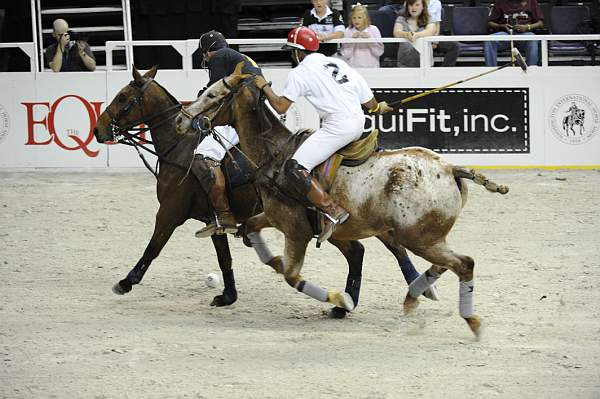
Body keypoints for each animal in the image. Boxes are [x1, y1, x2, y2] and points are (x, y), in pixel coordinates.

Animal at [176, 65, 508, 338]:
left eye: (212, 94)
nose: (181, 119)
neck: (274, 154)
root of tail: (450, 168)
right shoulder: (274, 216)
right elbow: (251, 233)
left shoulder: (296, 230)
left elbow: (291, 275)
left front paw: (340, 298)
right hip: (426, 235)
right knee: (444, 263)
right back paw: (414, 295)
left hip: (417, 236)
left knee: (463, 263)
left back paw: (470, 320)